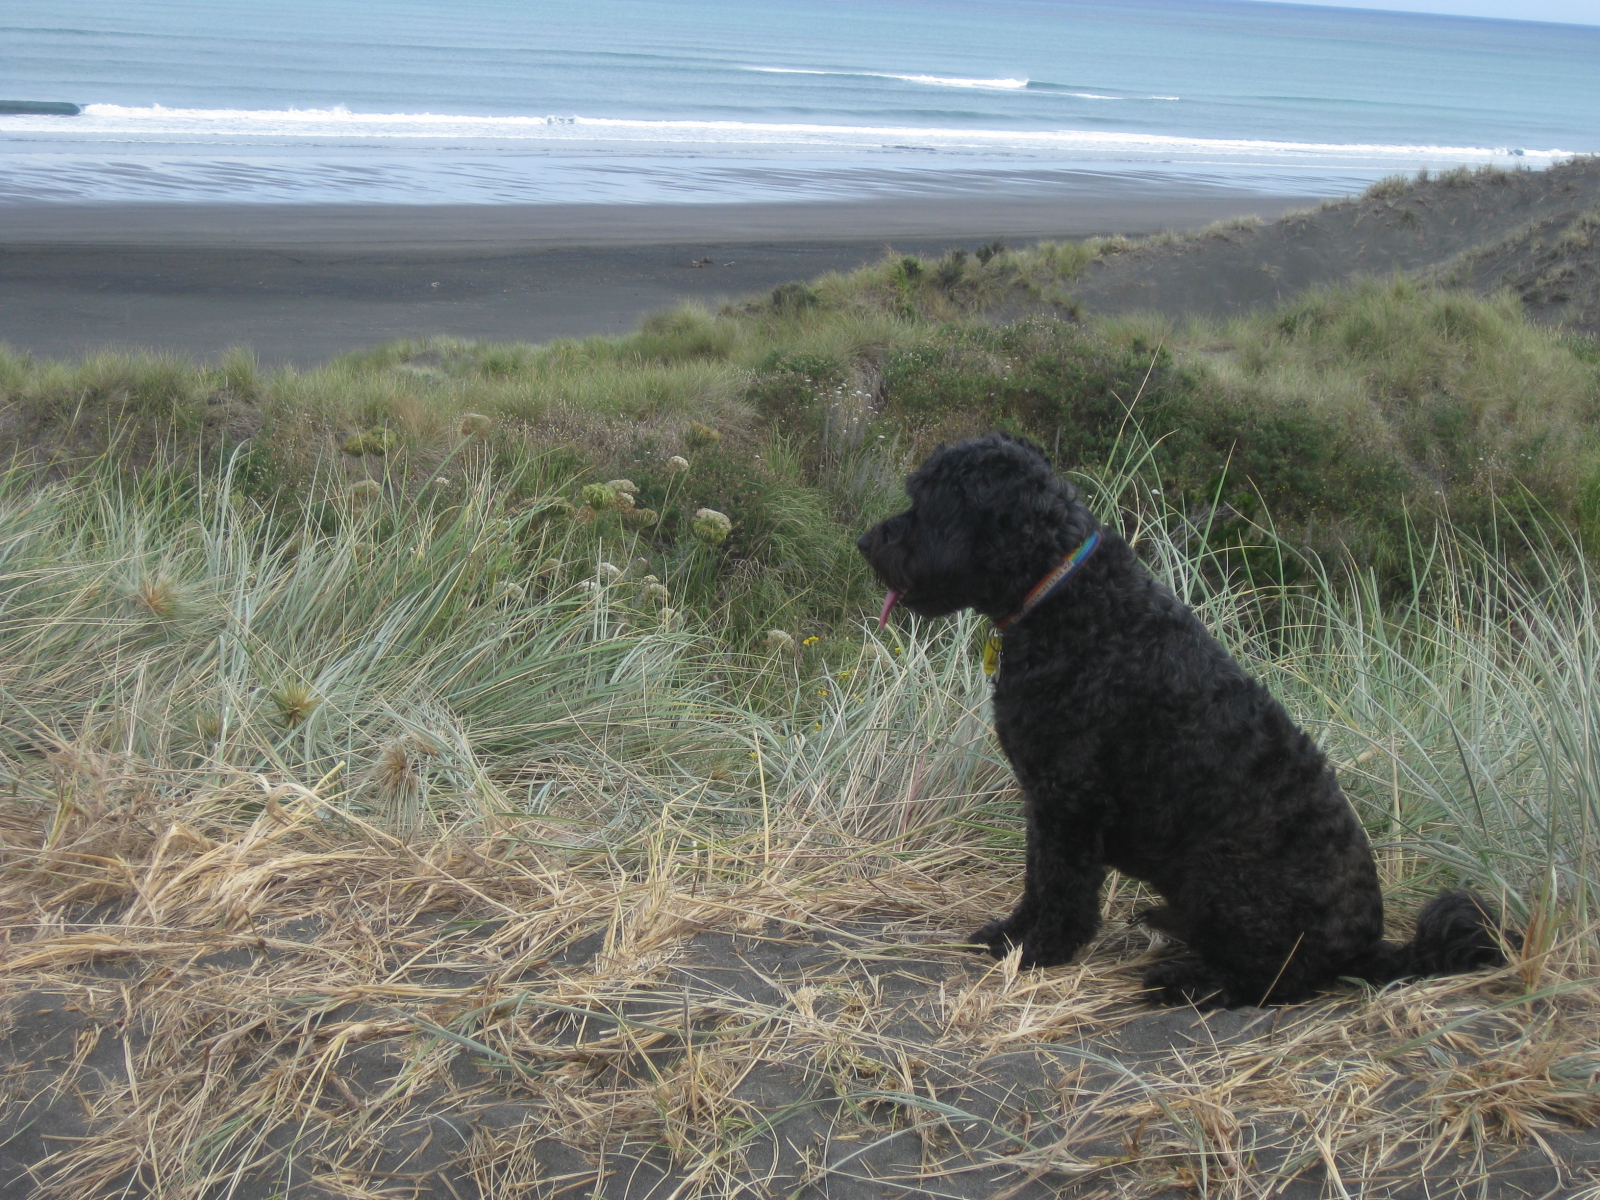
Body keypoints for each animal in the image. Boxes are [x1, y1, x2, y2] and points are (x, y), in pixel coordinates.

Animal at [857, 432, 1504, 1004]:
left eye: (926, 503)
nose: (866, 542)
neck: (1068, 600)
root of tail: (1368, 946)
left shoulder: (1070, 801)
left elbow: (1060, 889)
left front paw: (1040, 950)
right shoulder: (1047, 803)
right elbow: (1037, 880)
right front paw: (1013, 935)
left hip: (1220, 872)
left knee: (1272, 979)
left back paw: (1186, 980)